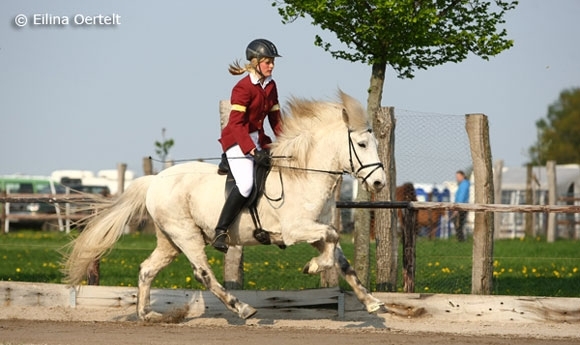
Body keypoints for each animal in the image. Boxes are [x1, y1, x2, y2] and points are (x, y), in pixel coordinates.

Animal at [63, 90, 388, 320]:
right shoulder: (296, 229)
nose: (379, 183)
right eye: (361, 145)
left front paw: (373, 302)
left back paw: (147, 315)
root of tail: (155, 180)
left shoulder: (315, 228)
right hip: (186, 235)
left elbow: (342, 259)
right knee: (203, 274)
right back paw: (241, 308)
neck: (303, 173)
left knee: (147, 270)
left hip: (169, 240)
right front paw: (313, 266)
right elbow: (333, 240)